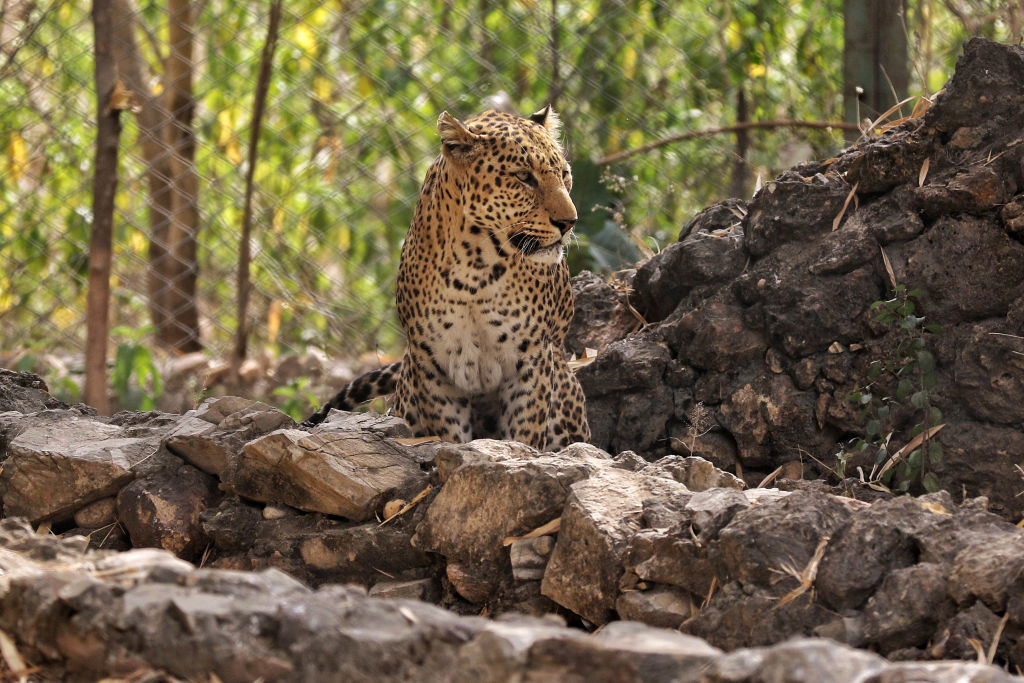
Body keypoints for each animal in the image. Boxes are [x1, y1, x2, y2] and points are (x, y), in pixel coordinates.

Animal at [303, 107, 589, 450]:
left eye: (565, 174)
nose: (569, 222)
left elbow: (525, 432)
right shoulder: (434, 362)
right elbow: (449, 434)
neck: (478, 268)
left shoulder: (532, 359)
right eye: (523, 177)